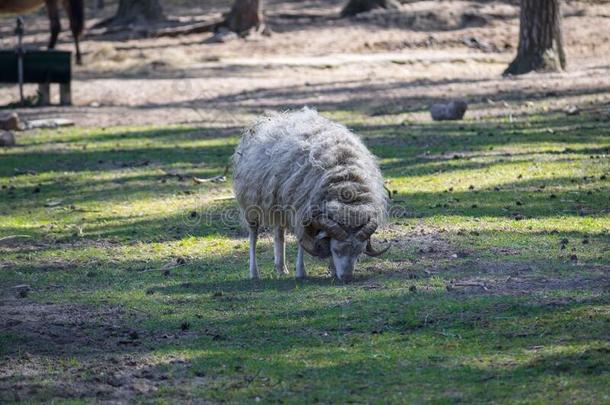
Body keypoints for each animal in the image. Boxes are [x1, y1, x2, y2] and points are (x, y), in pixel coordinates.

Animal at [230, 106, 388, 280]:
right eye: (336, 250)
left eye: (359, 252)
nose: (347, 278)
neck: (345, 182)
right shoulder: (301, 210)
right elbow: (302, 243)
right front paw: (301, 272)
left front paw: (333, 270)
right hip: (251, 203)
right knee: (253, 235)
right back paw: (254, 273)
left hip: (277, 201)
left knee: (279, 233)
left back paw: (281, 268)